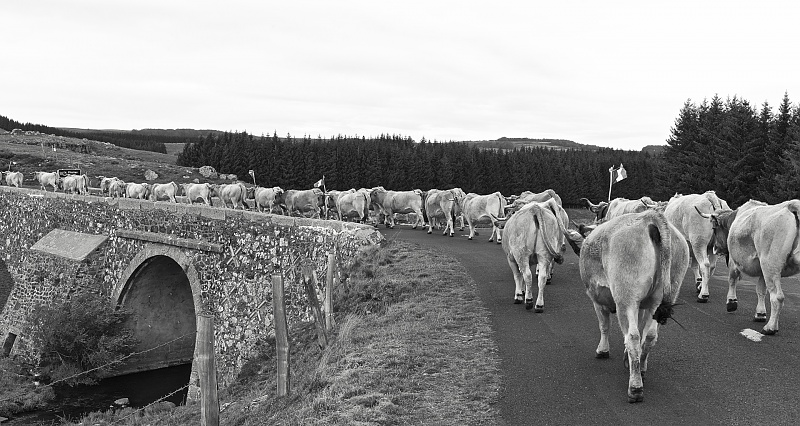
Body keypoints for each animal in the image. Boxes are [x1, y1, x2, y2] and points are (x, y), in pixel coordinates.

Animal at [577, 209, 689, 403]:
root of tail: (649, 216)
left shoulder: (597, 299)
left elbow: (604, 325)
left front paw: (602, 350)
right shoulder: (643, 305)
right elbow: (642, 328)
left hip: (626, 298)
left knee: (633, 337)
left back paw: (635, 387)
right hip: (659, 299)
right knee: (649, 336)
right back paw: (641, 368)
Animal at [697, 199, 800, 335]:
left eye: (714, 228)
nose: (716, 248)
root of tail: (792, 205)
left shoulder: (733, 261)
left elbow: (732, 280)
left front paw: (731, 302)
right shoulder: (761, 270)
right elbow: (761, 290)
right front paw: (760, 313)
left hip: (770, 266)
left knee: (778, 297)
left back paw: (770, 327)